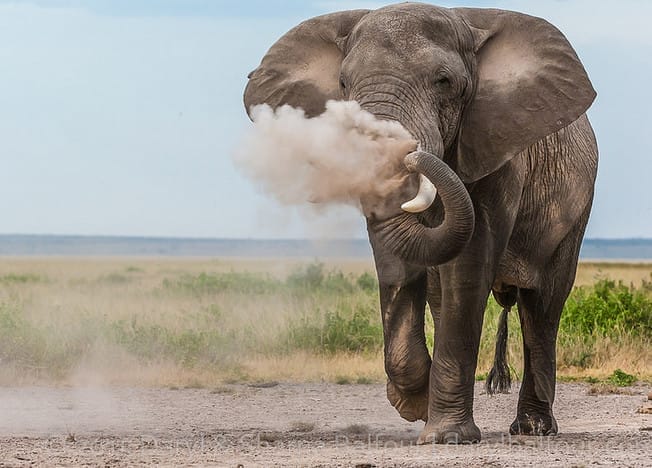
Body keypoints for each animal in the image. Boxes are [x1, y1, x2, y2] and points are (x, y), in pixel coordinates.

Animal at [243, 2, 598, 444]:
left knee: (543, 307)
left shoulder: (495, 146)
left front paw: (447, 437)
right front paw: (415, 404)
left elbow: (470, 262)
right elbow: (398, 263)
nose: (410, 154)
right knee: (443, 298)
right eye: (342, 83)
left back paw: (533, 429)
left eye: (443, 82)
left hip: (576, 211)